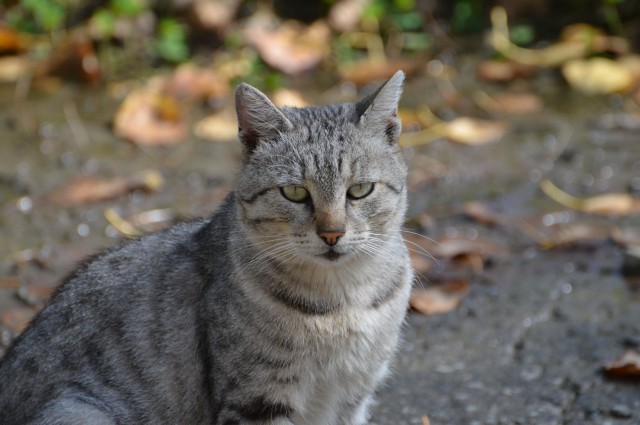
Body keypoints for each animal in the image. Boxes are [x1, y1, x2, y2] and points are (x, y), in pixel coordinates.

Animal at [0, 70, 412, 424]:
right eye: (295, 193)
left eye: (360, 190)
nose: (332, 234)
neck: (342, 301)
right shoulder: (257, 398)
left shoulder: (353, 397)